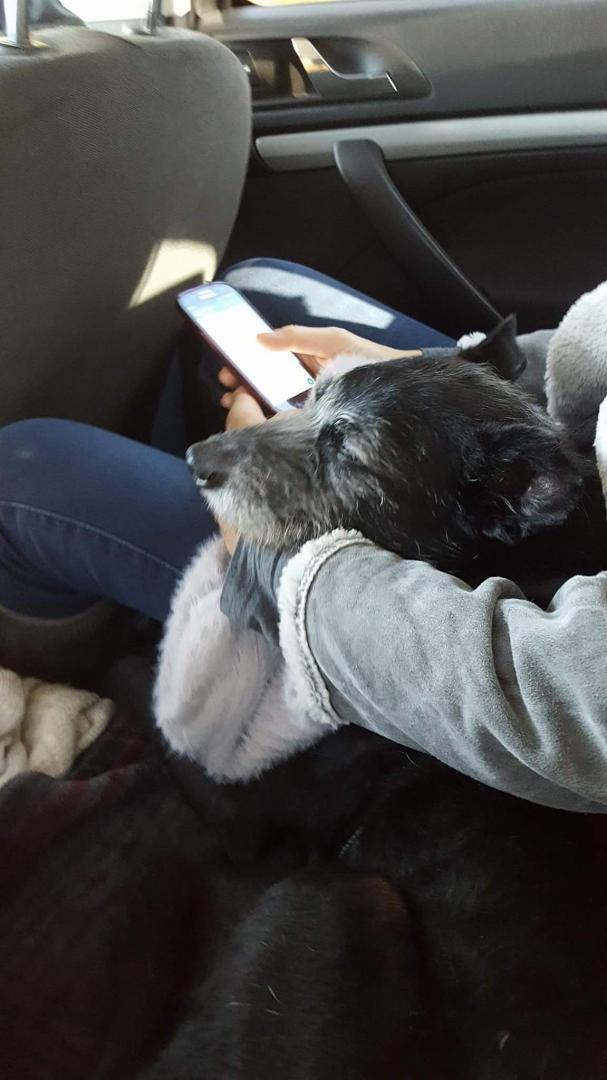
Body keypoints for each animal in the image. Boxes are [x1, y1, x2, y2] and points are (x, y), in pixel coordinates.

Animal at [151, 318, 607, 1079]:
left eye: (349, 456)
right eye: (314, 396)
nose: (195, 458)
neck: (520, 560)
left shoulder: (248, 811)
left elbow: (175, 745)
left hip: (340, 900)